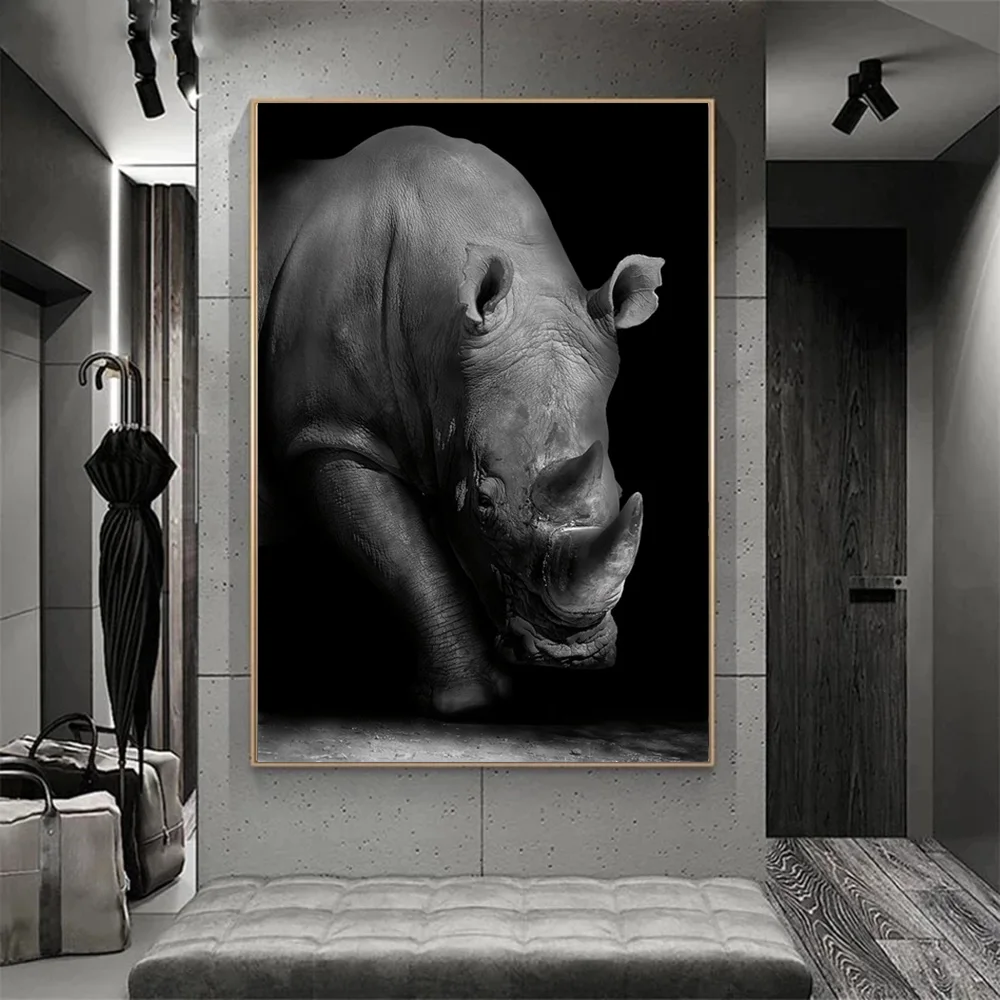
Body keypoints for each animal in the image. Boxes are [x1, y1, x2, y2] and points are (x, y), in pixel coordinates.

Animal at [257, 125, 663, 717]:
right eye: (484, 503)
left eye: (616, 491)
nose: (570, 655)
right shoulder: (329, 432)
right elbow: (406, 556)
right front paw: (467, 702)